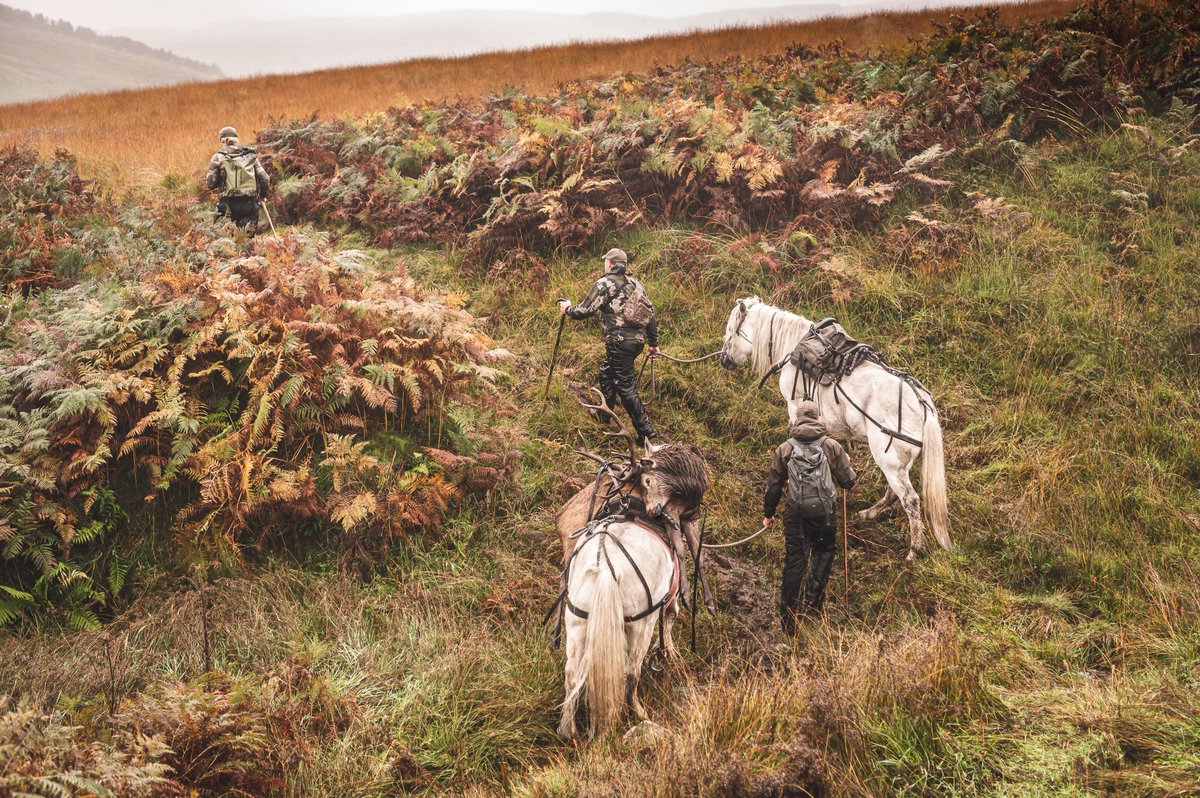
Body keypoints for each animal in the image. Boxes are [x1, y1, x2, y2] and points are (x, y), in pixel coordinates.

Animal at [554, 513, 676, 739]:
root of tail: (605, 566)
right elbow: (672, 612)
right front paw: (669, 650)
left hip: (576, 622)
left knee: (571, 673)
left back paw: (567, 729)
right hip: (641, 625)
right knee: (631, 671)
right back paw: (637, 711)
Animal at [715, 295, 950, 556]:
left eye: (731, 329)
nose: (724, 359)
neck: (794, 349)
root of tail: (922, 404)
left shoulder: (795, 407)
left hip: (889, 459)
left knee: (910, 499)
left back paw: (915, 550)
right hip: (896, 463)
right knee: (894, 491)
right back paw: (871, 513)